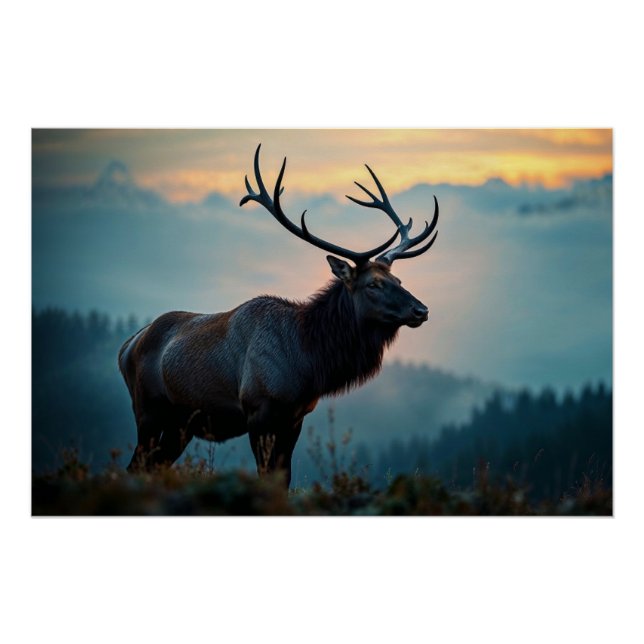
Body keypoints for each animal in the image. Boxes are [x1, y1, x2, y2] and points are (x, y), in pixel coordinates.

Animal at [118, 144, 439, 487]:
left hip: (181, 424)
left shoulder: (295, 418)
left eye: (398, 280)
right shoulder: (259, 411)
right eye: (373, 284)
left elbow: (283, 478)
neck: (308, 362)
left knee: (150, 465)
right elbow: (266, 476)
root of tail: (127, 346)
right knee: (135, 465)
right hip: (148, 410)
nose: (421, 310)